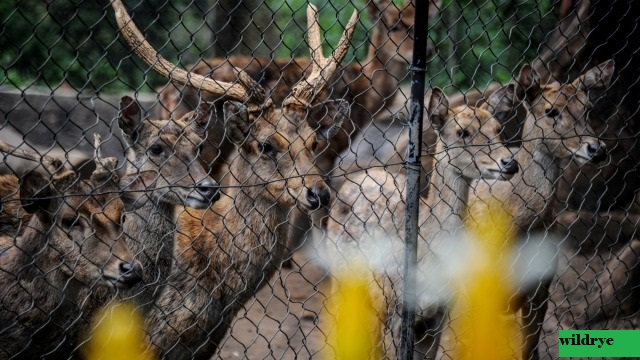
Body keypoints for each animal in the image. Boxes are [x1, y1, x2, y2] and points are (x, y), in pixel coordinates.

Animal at [324, 88, 520, 360]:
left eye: (498, 128)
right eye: (462, 131)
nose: (509, 163)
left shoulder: (437, 315)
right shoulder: (396, 310)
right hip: (342, 276)